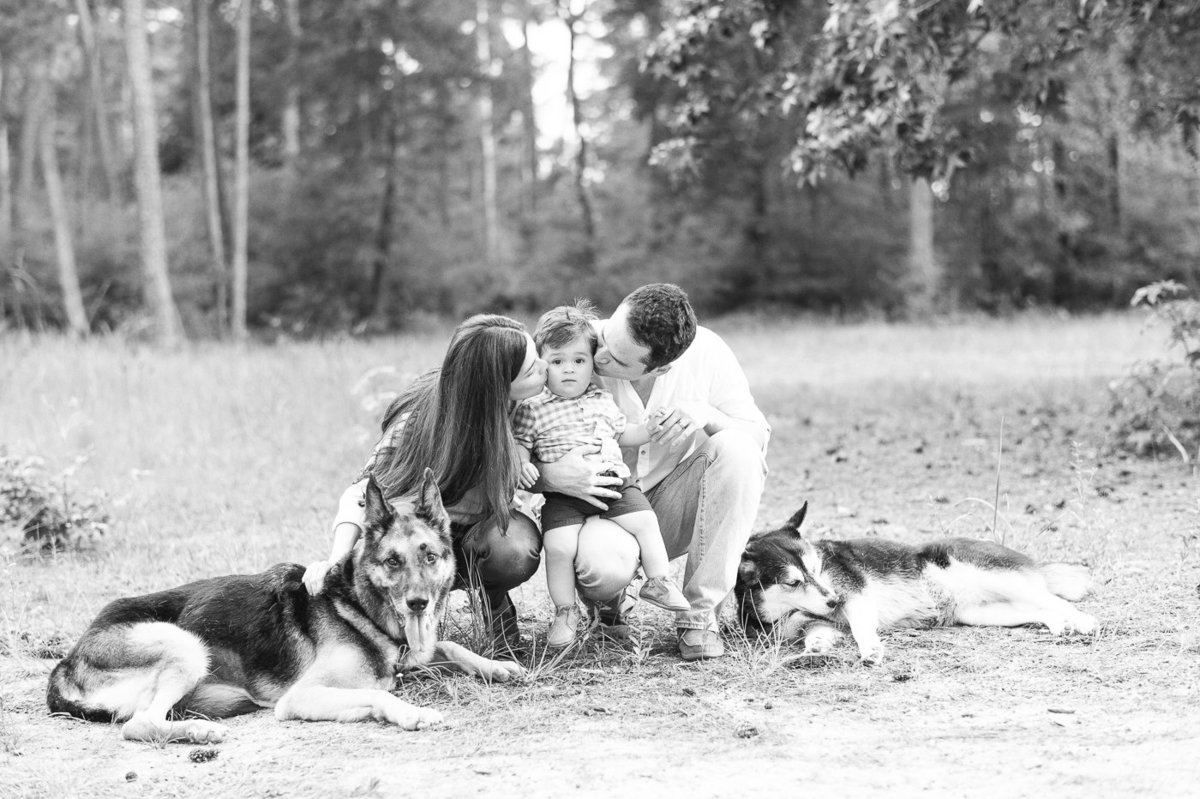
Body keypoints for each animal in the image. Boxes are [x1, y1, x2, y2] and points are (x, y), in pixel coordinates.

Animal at [44, 467, 523, 739]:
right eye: (392, 561)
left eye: (430, 556)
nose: (418, 604)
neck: (357, 605)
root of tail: (66, 663)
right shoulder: (301, 697)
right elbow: (379, 694)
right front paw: (412, 714)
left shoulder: (411, 653)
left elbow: (450, 647)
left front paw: (499, 666)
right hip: (183, 644)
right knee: (138, 724)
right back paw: (198, 733)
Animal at [729, 501, 1099, 662]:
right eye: (793, 582)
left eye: (817, 569)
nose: (834, 601)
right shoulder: (809, 622)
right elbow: (816, 632)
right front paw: (817, 647)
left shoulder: (855, 593)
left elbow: (861, 626)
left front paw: (870, 647)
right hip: (986, 612)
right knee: (1042, 609)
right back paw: (1060, 626)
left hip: (996, 575)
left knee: (1054, 600)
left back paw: (1084, 622)